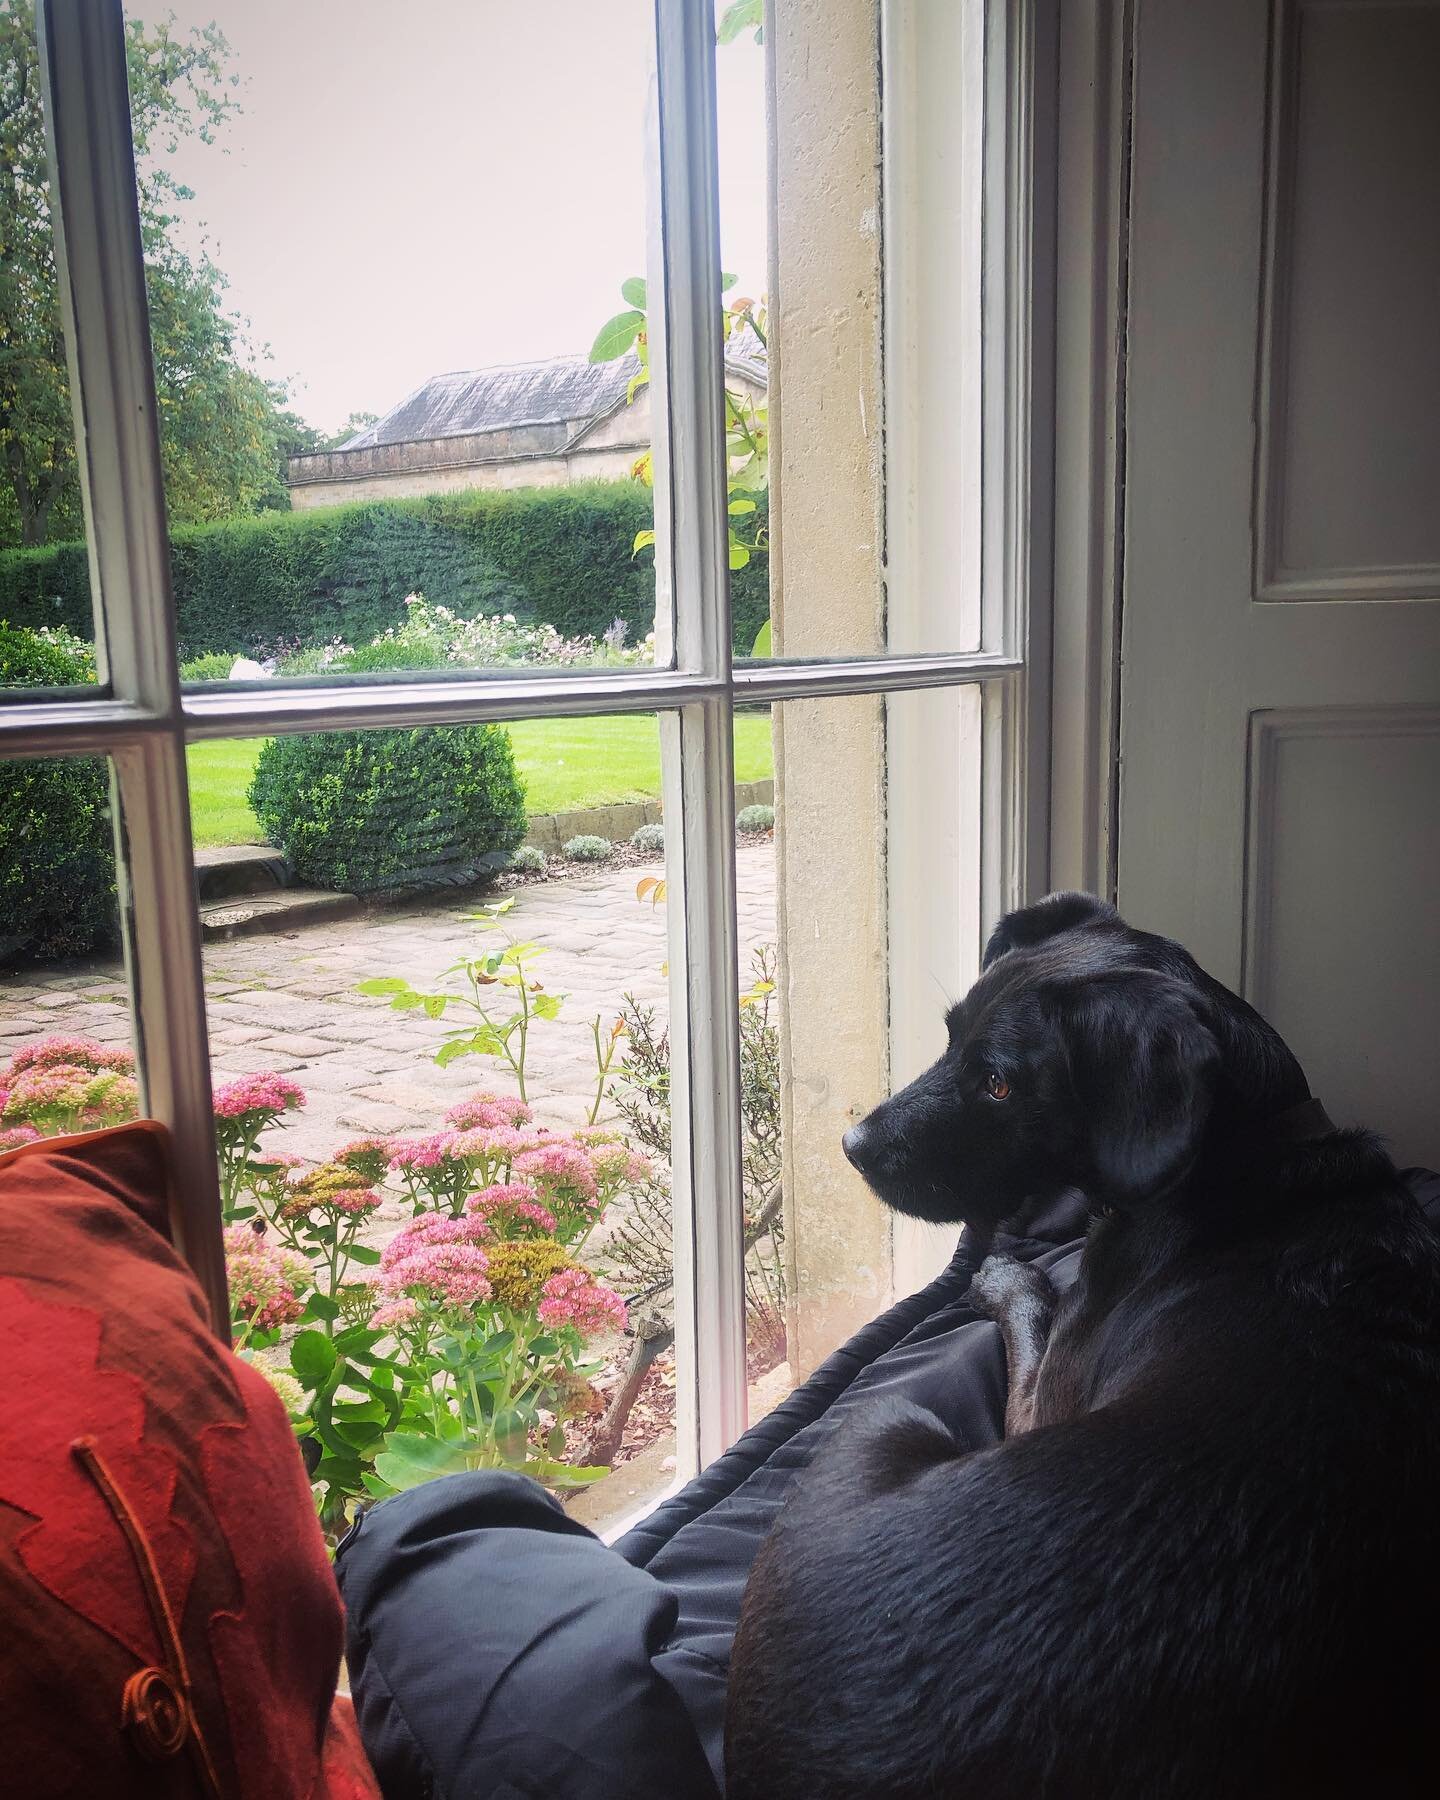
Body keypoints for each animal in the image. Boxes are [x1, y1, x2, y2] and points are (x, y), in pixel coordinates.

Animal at [727, 892, 1440, 1792]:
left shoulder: (1043, 1399)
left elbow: (1033, 1299)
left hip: (887, 1419)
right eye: (950, 1035)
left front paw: (1000, 1271)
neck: (1237, 1166)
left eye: (998, 1083)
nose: (851, 1148)